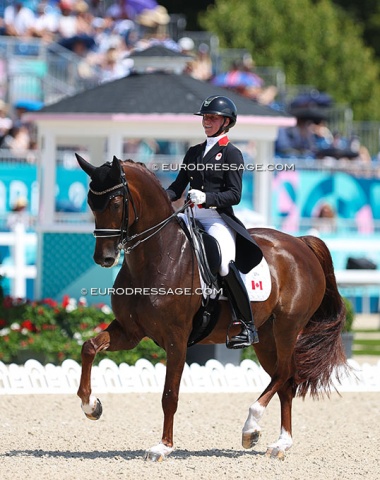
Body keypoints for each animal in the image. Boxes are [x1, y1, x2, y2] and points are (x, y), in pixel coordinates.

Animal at [75, 155, 348, 462]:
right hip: (266, 337)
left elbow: (169, 395)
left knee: (285, 373)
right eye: (90, 202)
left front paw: (163, 446)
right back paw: (280, 444)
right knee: (285, 383)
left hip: (288, 327)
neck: (159, 255)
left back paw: (250, 427)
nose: (104, 258)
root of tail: (300, 242)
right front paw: (91, 406)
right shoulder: (129, 332)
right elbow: (89, 347)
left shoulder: (177, 339)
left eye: (116, 202)